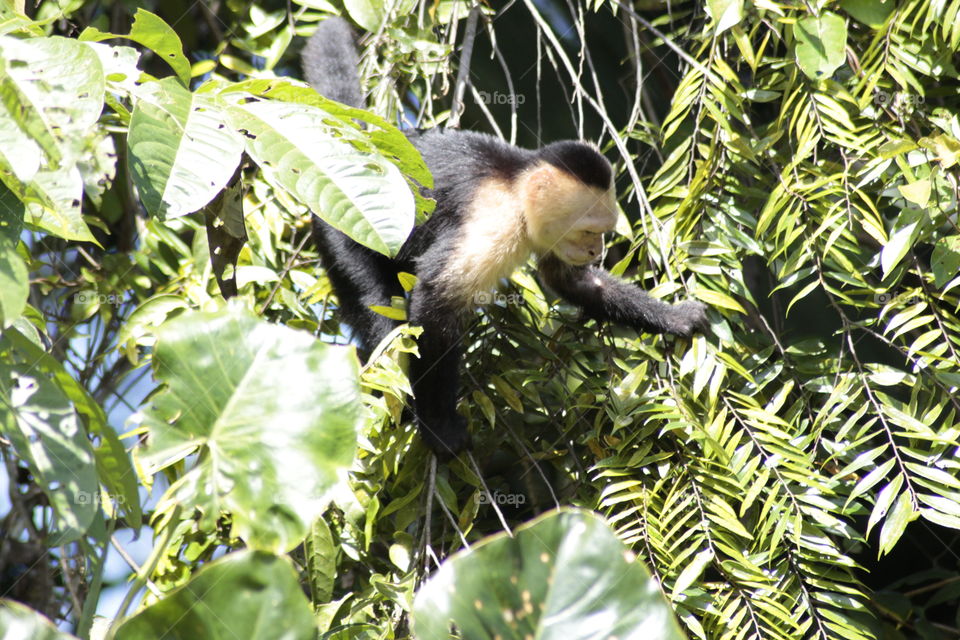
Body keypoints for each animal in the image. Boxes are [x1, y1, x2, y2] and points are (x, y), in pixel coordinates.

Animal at [302, 17, 708, 458]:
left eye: (601, 235)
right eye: (589, 231)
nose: (595, 250)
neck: (517, 189)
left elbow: (573, 282)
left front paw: (677, 318)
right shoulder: (494, 221)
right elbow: (436, 303)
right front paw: (439, 426)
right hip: (342, 225)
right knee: (378, 305)